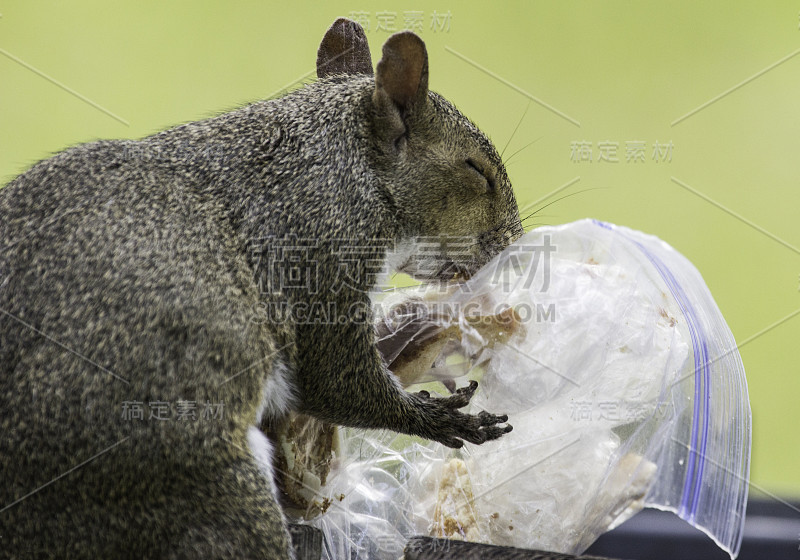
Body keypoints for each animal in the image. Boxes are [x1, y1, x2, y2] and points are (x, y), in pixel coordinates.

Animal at [0, 17, 524, 560]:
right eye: (476, 171)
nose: (514, 242)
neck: (346, 166)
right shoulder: (318, 259)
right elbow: (334, 379)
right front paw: (441, 419)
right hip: (193, 485)